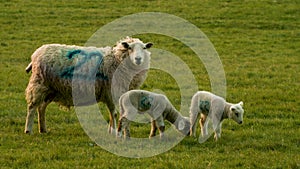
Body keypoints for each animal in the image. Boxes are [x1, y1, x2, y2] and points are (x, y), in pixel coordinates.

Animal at [24, 37, 154, 135]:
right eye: (130, 48)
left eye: (144, 48)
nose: (138, 59)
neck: (116, 59)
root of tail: (36, 54)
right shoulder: (110, 91)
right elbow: (114, 113)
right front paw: (114, 132)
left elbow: (112, 113)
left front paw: (111, 131)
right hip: (39, 84)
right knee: (32, 107)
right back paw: (28, 130)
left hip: (51, 89)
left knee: (41, 108)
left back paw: (43, 129)